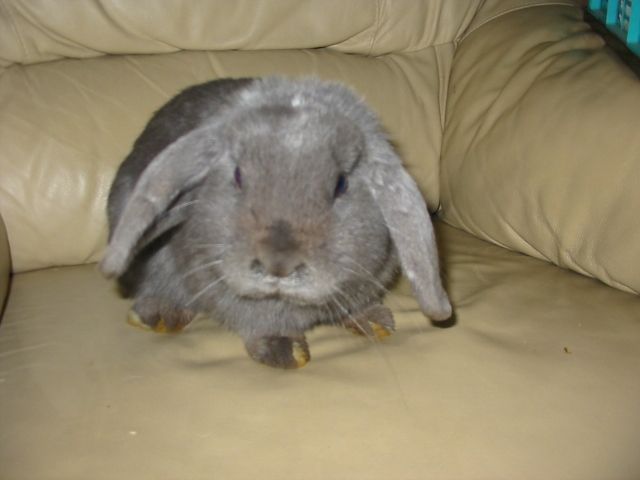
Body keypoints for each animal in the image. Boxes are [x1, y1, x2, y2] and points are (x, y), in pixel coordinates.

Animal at [101, 76, 453, 369]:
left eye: (341, 184)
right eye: (238, 176)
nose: (278, 264)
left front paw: (375, 321)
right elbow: (261, 320)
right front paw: (285, 352)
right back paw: (161, 315)